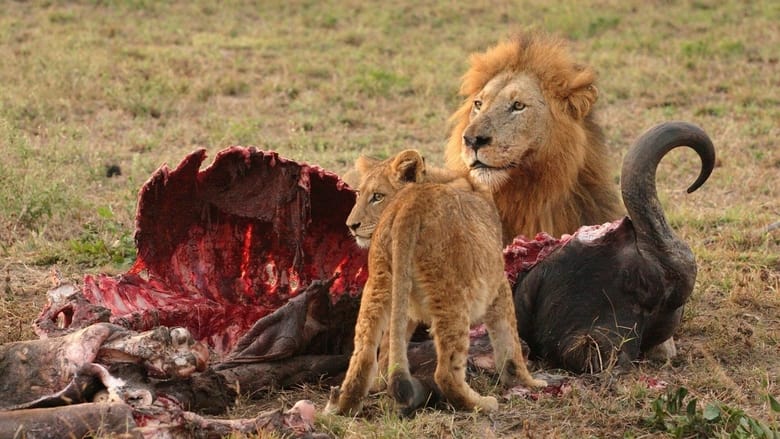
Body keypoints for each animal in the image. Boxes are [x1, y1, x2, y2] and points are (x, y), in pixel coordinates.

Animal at [324, 150, 546, 416]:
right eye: (360, 194)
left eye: (376, 196)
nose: (351, 225)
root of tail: (411, 204)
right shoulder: (498, 283)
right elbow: (509, 340)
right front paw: (528, 382)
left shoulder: (405, 302)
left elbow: (391, 346)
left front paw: (382, 382)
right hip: (452, 294)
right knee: (446, 373)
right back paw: (480, 403)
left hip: (379, 283)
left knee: (364, 354)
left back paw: (346, 405)